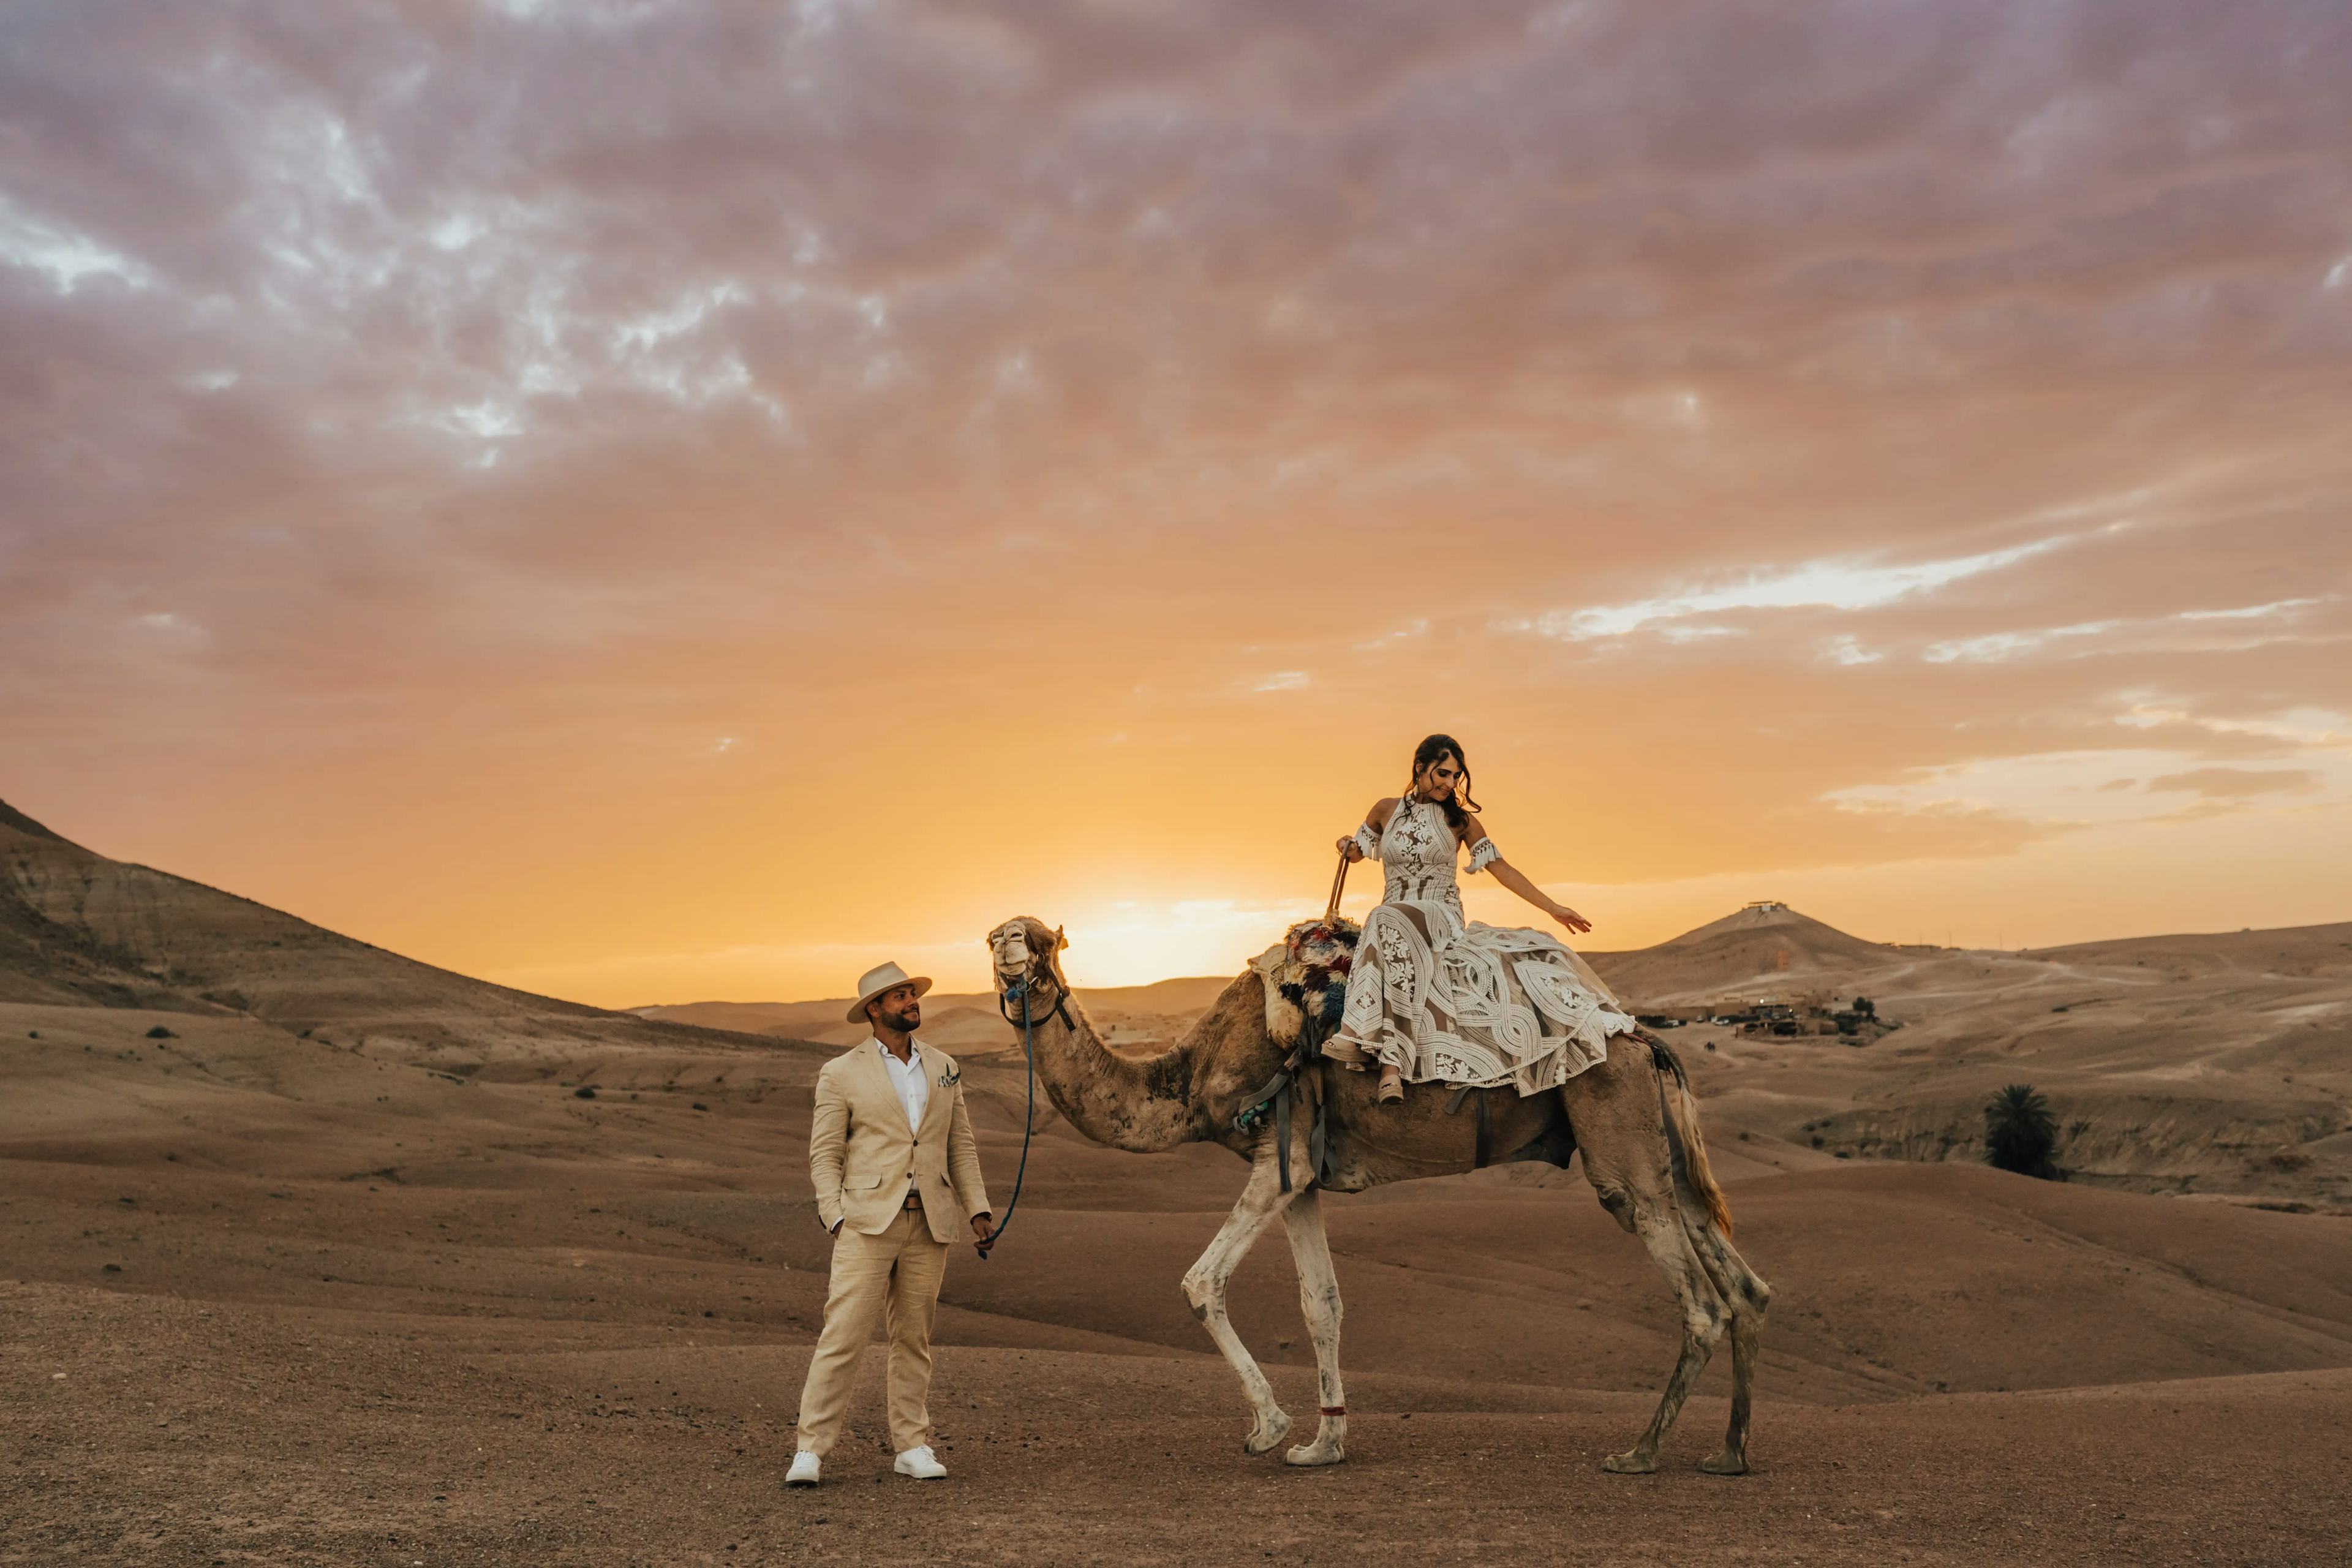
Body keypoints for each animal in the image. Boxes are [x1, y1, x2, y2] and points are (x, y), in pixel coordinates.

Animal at [983, 912, 1768, 1476]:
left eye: (1040, 940)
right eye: (1001, 931)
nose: (1003, 947)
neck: (1193, 1072)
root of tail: (1644, 1041)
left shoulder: (1278, 1157)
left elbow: (1200, 1282)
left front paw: (1268, 1429)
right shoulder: (1299, 1170)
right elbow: (1321, 1303)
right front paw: (1322, 1445)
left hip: (1620, 1148)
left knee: (1701, 1301)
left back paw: (1640, 1453)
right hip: (1664, 1157)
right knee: (1745, 1289)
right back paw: (1729, 1452)